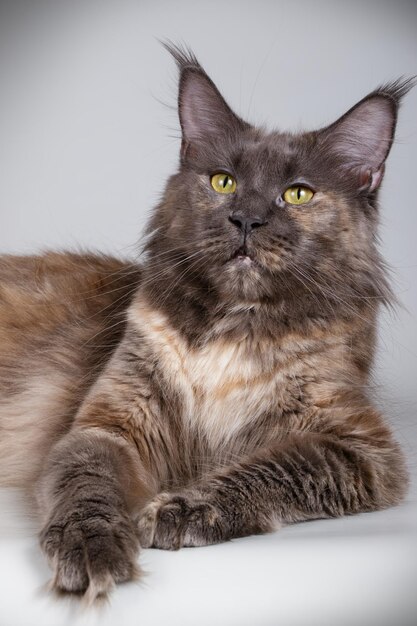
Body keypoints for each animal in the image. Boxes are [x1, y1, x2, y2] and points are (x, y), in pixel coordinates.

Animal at [0, 44, 412, 600]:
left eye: (297, 194)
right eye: (224, 182)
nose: (246, 220)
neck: (234, 329)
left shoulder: (360, 448)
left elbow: (268, 470)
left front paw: (185, 508)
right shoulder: (107, 426)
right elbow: (86, 484)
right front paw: (90, 544)